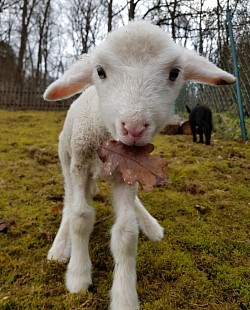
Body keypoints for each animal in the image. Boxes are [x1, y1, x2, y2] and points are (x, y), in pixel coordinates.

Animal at [43, 21, 236, 310]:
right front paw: (78, 276)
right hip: (66, 156)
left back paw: (150, 224)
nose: (133, 128)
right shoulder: (80, 162)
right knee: (69, 200)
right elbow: (80, 217)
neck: (107, 144)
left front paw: (124, 296)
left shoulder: (127, 173)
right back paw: (60, 244)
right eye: (100, 71)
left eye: (174, 73)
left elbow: (126, 234)